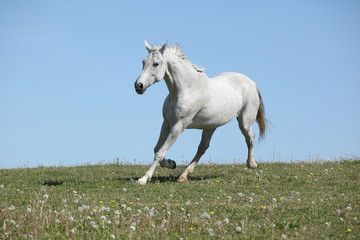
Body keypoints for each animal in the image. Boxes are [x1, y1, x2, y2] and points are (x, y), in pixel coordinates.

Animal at [134, 40, 266, 186]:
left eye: (156, 64)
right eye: (143, 62)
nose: (138, 86)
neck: (186, 89)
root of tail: (251, 82)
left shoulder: (178, 126)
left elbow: (160, 152)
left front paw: (143, 178)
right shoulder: (167, 123)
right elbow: (157, 149)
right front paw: (171, 163)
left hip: (244, 122)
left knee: (250, 138)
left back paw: (252, 164)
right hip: (211, 126)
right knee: (203, 147)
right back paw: (182, 175)